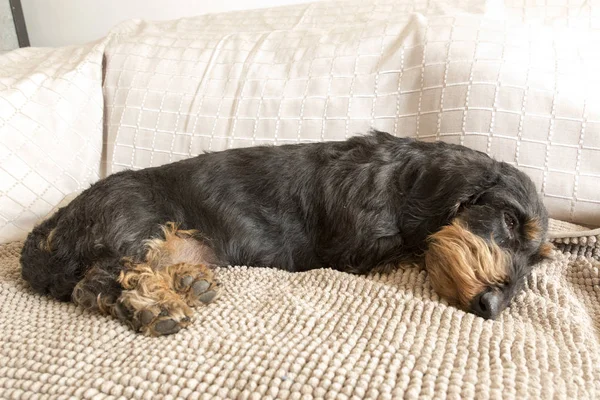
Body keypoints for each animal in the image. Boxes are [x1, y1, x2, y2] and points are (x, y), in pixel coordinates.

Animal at [21, 130, 552, 334]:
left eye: (538, 260)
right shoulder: (355, 250)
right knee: (102, 281)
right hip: (134, 222)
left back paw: (190, 281)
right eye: (509, 220)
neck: (400, 179)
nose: (492, 306)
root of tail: (52, 230)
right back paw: (158, 306)